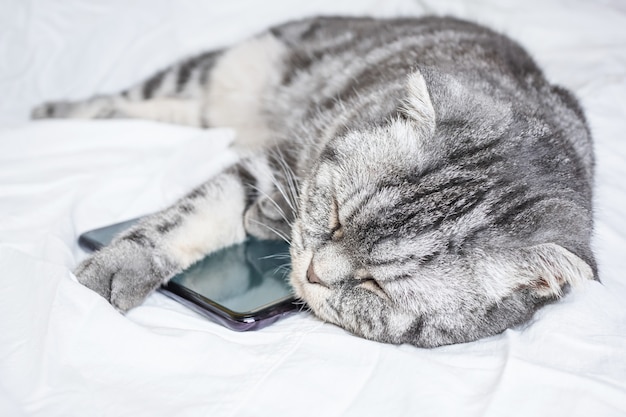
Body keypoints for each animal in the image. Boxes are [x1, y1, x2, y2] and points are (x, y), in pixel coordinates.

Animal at [33, 16, 596, 346]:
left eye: (375, 284)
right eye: (339, 216)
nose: (312, 273)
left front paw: (265, 221)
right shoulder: (274, 156)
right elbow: (186, 219)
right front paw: (120, 266)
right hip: (216, 69)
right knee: (119, 98)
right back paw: (48, 113)